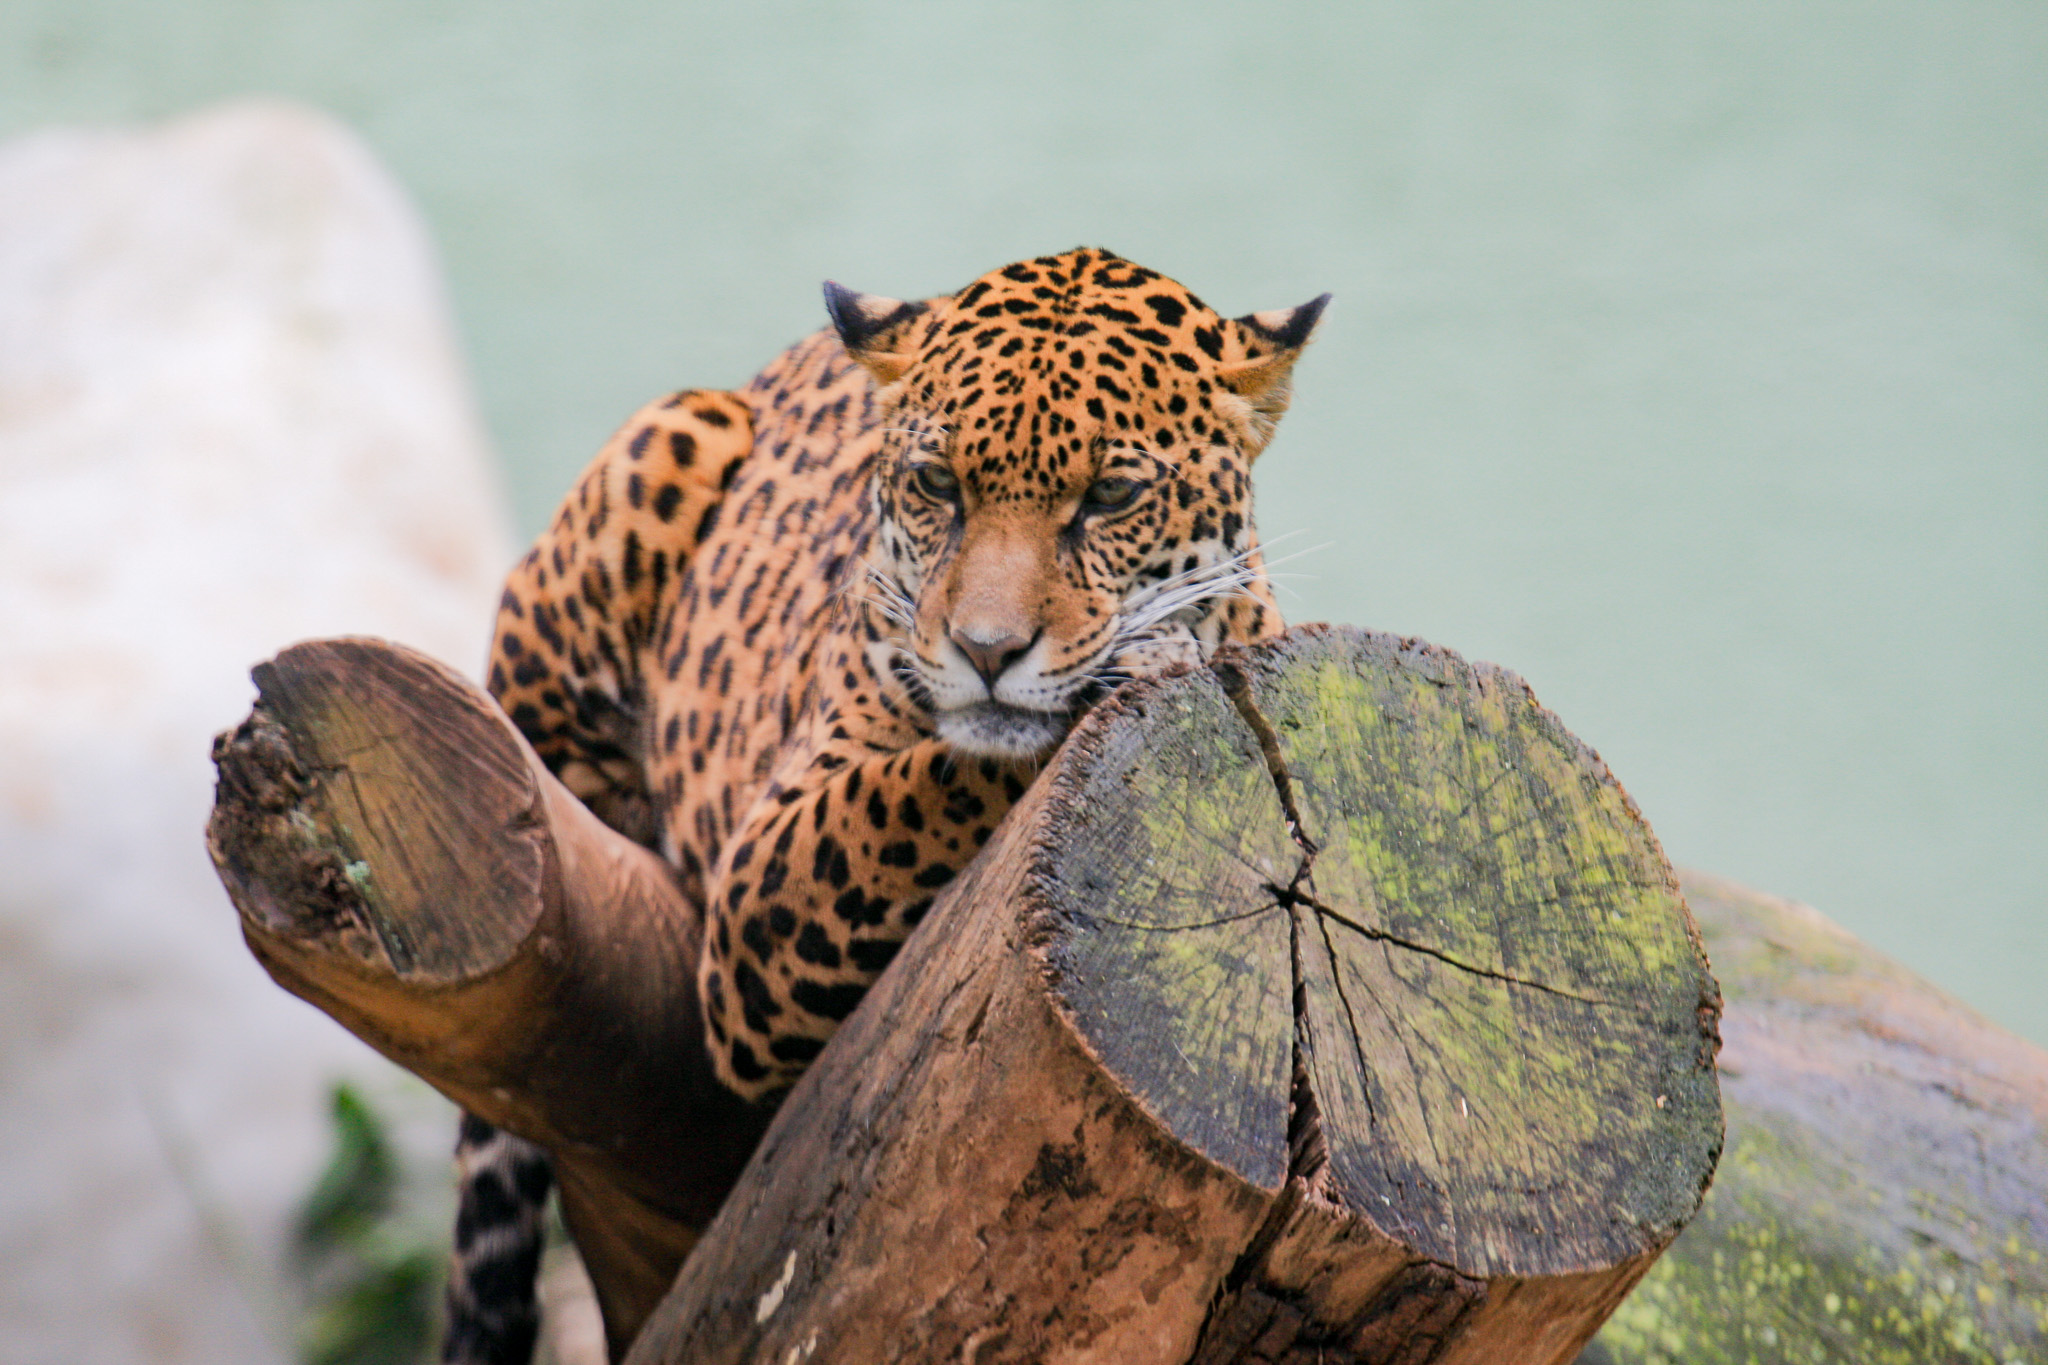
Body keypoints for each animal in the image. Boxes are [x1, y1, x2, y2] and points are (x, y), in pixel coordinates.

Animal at [440, 248, 1327, 1364]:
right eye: (936, 484)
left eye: (1113, 494)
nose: (987, 650)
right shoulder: (759, 886)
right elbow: (907, 790)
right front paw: (1125, 667)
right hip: (657, 449)